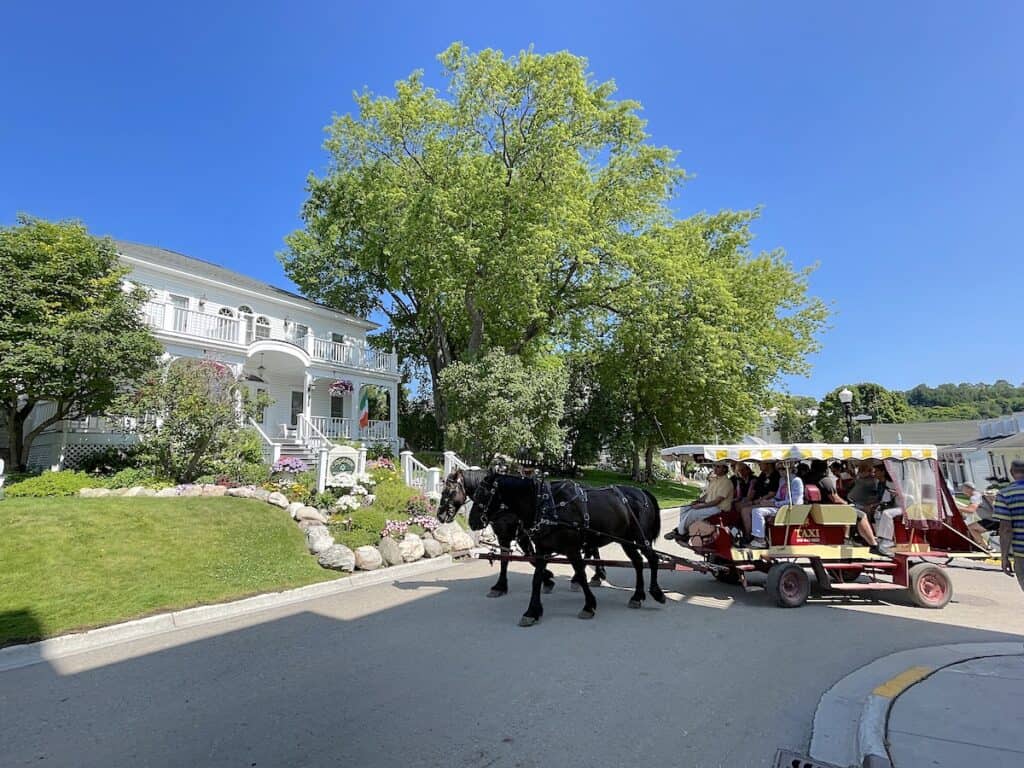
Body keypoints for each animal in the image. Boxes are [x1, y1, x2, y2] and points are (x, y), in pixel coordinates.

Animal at [468, 475, 663, 626]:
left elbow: (581, 574)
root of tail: (643, 492)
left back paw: (656, 593)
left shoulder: (572, 549)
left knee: (652, 559)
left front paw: (589, 606)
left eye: (483, 494)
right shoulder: (542, 549)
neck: (546, 506)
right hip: (626, 541)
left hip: (640, 538)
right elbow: (536, 579)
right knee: (638, 562)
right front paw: (532, 611)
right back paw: (637, 596)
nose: (472, 522)